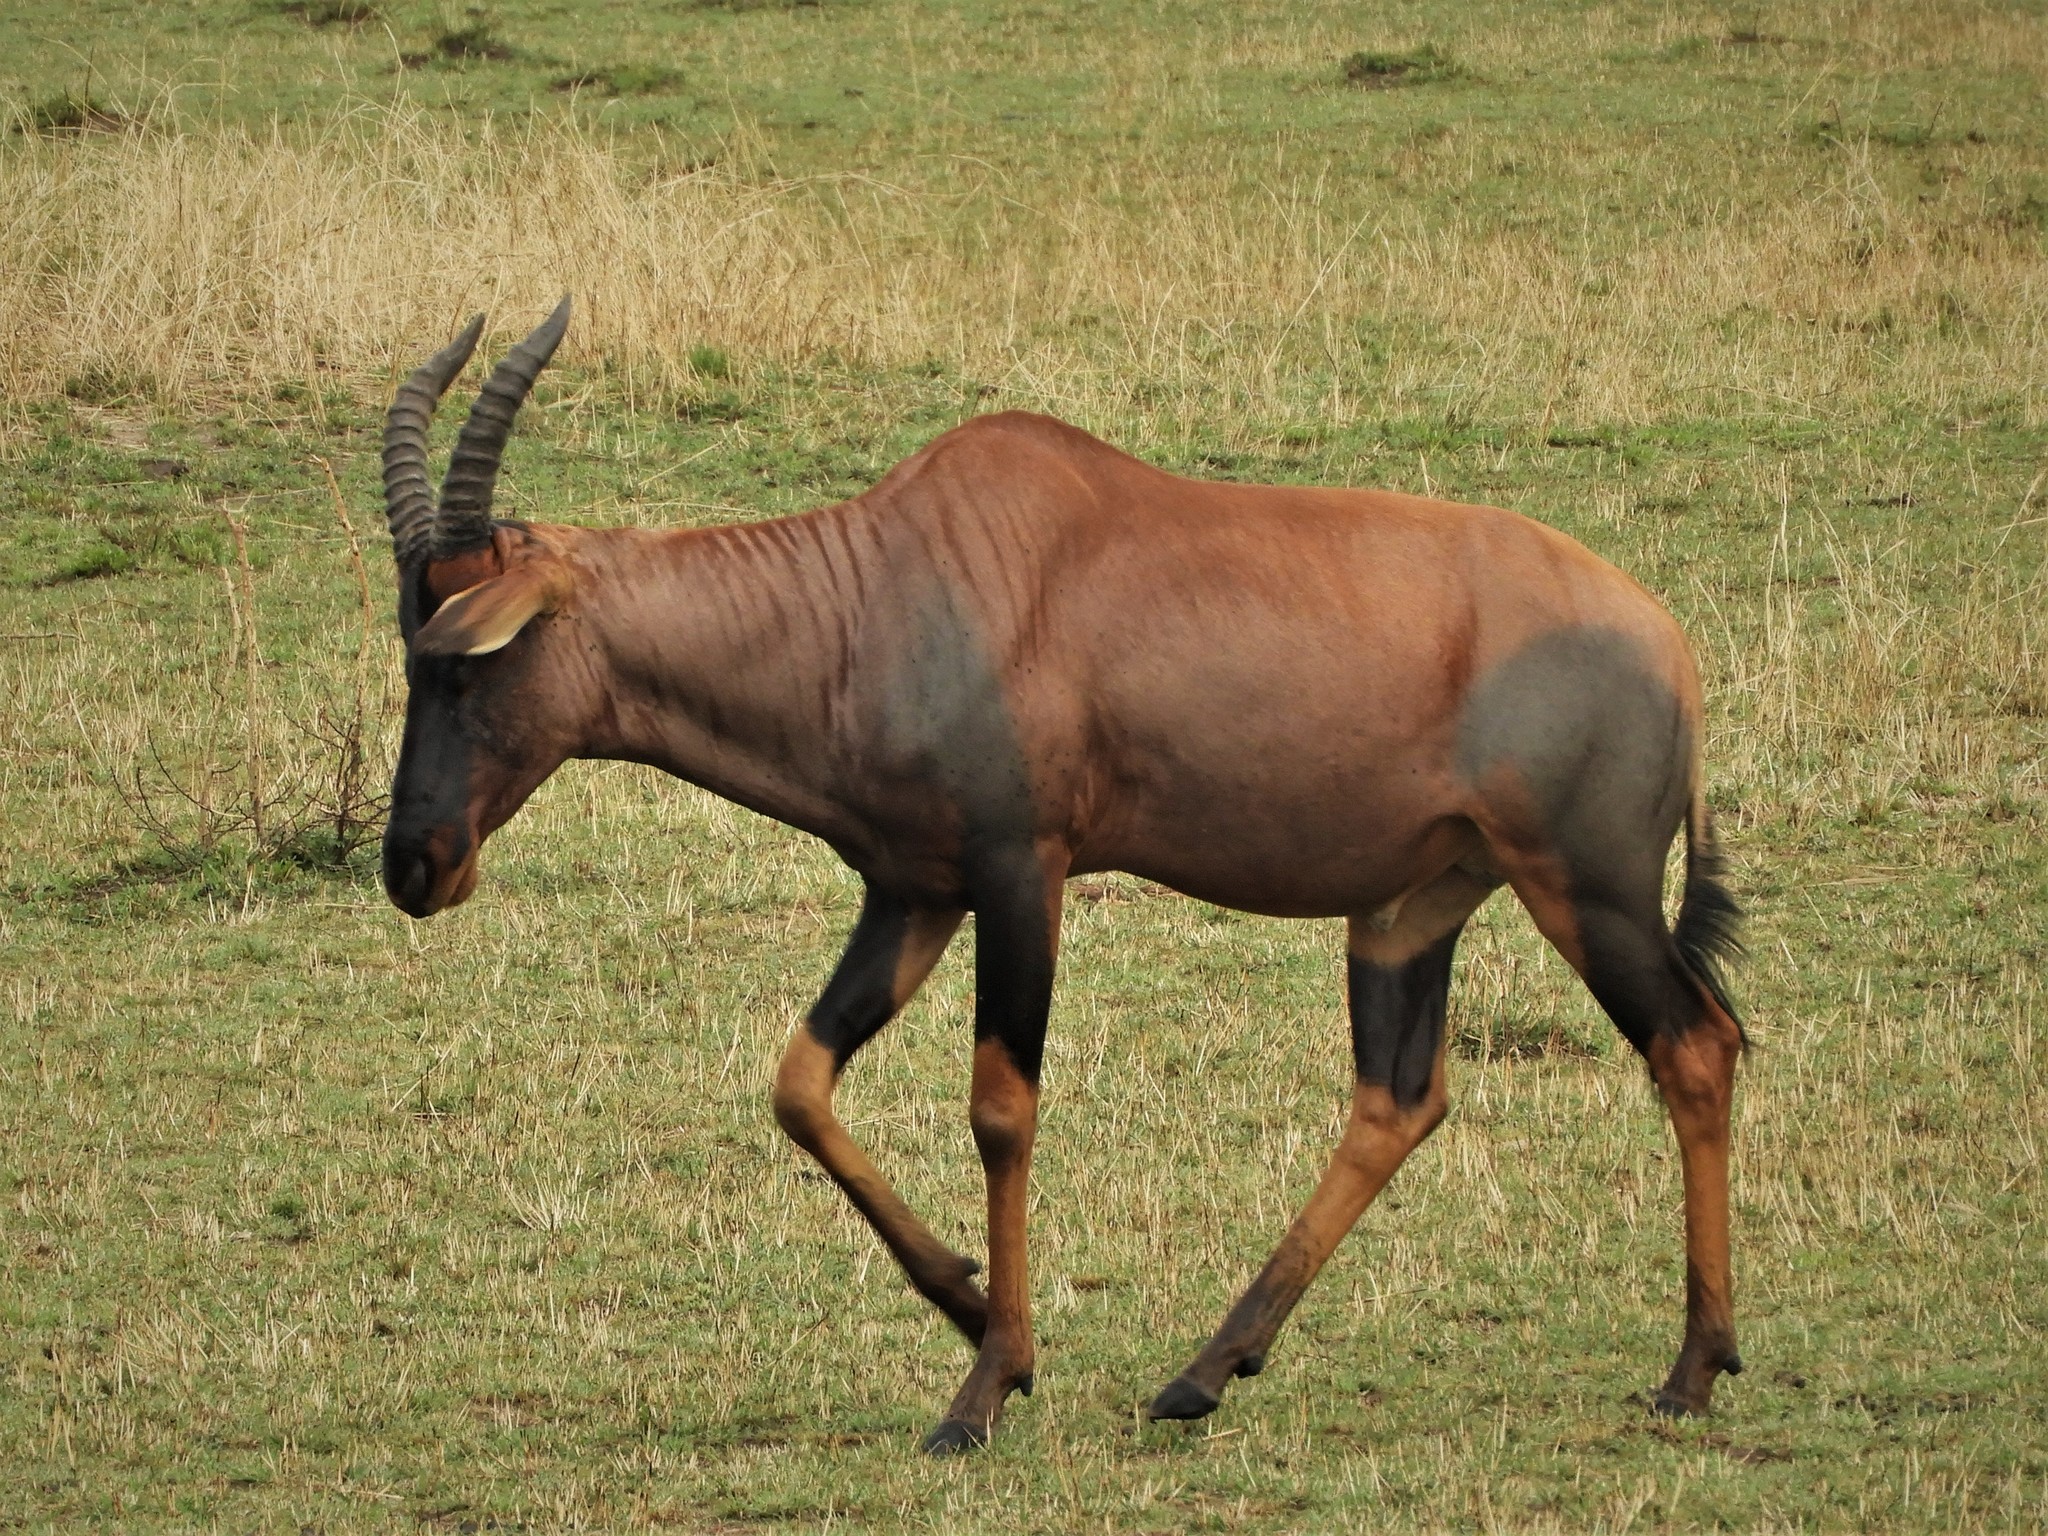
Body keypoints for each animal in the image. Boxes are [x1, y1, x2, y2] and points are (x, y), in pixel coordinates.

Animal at [380, 301, 1744, 1458]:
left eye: (470, 655)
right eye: (410, 645)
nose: (414, 865)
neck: (892, 582)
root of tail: (1665, 640)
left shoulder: (1018, 875)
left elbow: (1000, 1109)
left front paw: (983, 1389)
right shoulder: (912, 892)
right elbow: (798, 1084)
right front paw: (963, 1300)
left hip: (1587, 890)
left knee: (1694, 1045)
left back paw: (1691, 1372)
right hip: (1412, 908)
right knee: (1398, 1099)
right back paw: (1202, 1373)